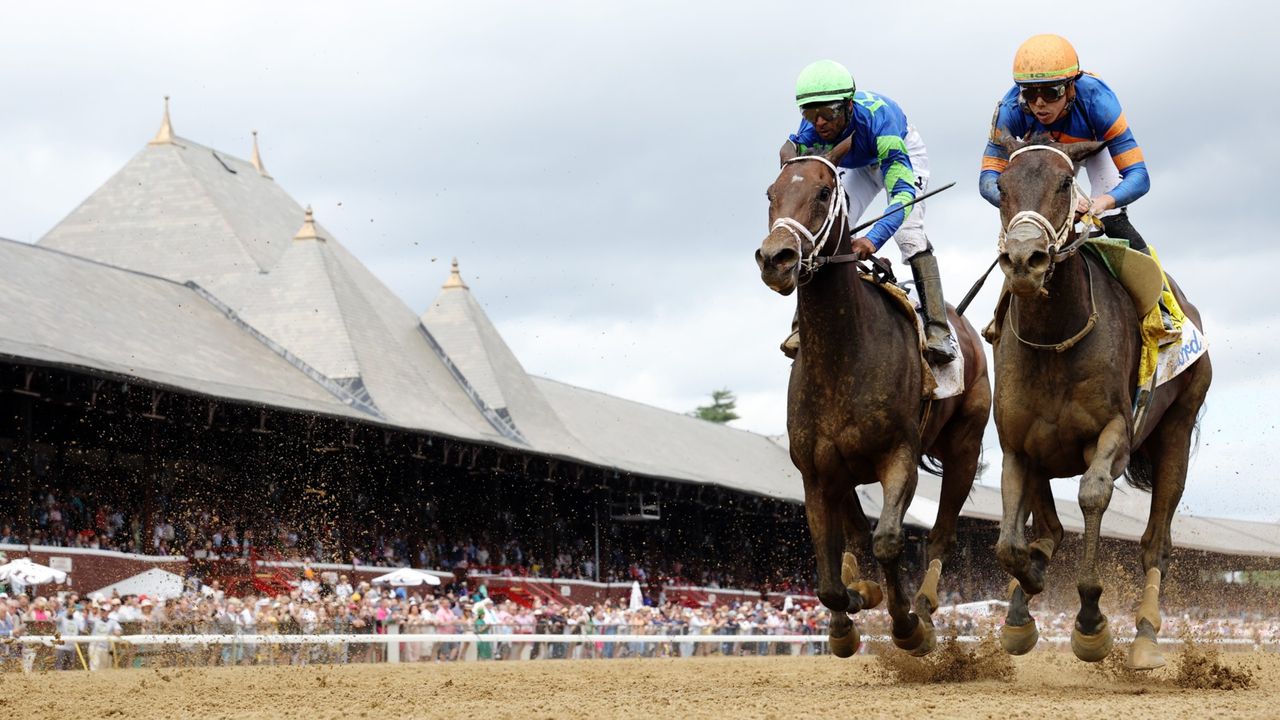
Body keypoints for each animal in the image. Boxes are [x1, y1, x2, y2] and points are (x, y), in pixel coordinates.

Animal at [757, 135, 988, 655]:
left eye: (824, 193)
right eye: (770, 194)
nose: (776, 259)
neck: (843, 358)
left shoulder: (899, 455)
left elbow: (888, 540)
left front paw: (907, 627)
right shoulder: (818, 470)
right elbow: (830, 571)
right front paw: (849, 612)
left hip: (965, 448)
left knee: (940, 534)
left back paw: (923, 607)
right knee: (861, 536)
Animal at [993, 135, 1213, 666]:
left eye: (1065, 182)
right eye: (1001, 186)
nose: (1025, 260)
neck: (1054, 340)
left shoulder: (1113, 434)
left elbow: (1092, 494)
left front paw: (1091, 621)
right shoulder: (1018, 447)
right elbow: (1011, 542)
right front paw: (1027, 592)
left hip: (1177, 429)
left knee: (1156, 545)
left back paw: (1146, 637)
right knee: (1048, 530)